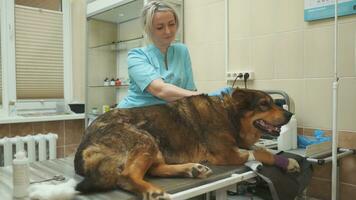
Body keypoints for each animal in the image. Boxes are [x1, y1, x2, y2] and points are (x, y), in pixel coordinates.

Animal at [74, 88, 300, 199]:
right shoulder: (227, 154)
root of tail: (84, 142)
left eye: (273, 102)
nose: (290, 114)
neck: (228, 114)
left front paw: (287, 161)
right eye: (264, 104)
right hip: (145, 139)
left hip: (156, 147)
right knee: (127, 175)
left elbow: (261, 148)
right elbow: (261, 153)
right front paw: (284, 161)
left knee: (154, 169)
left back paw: (192, 169)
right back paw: (153, 191)